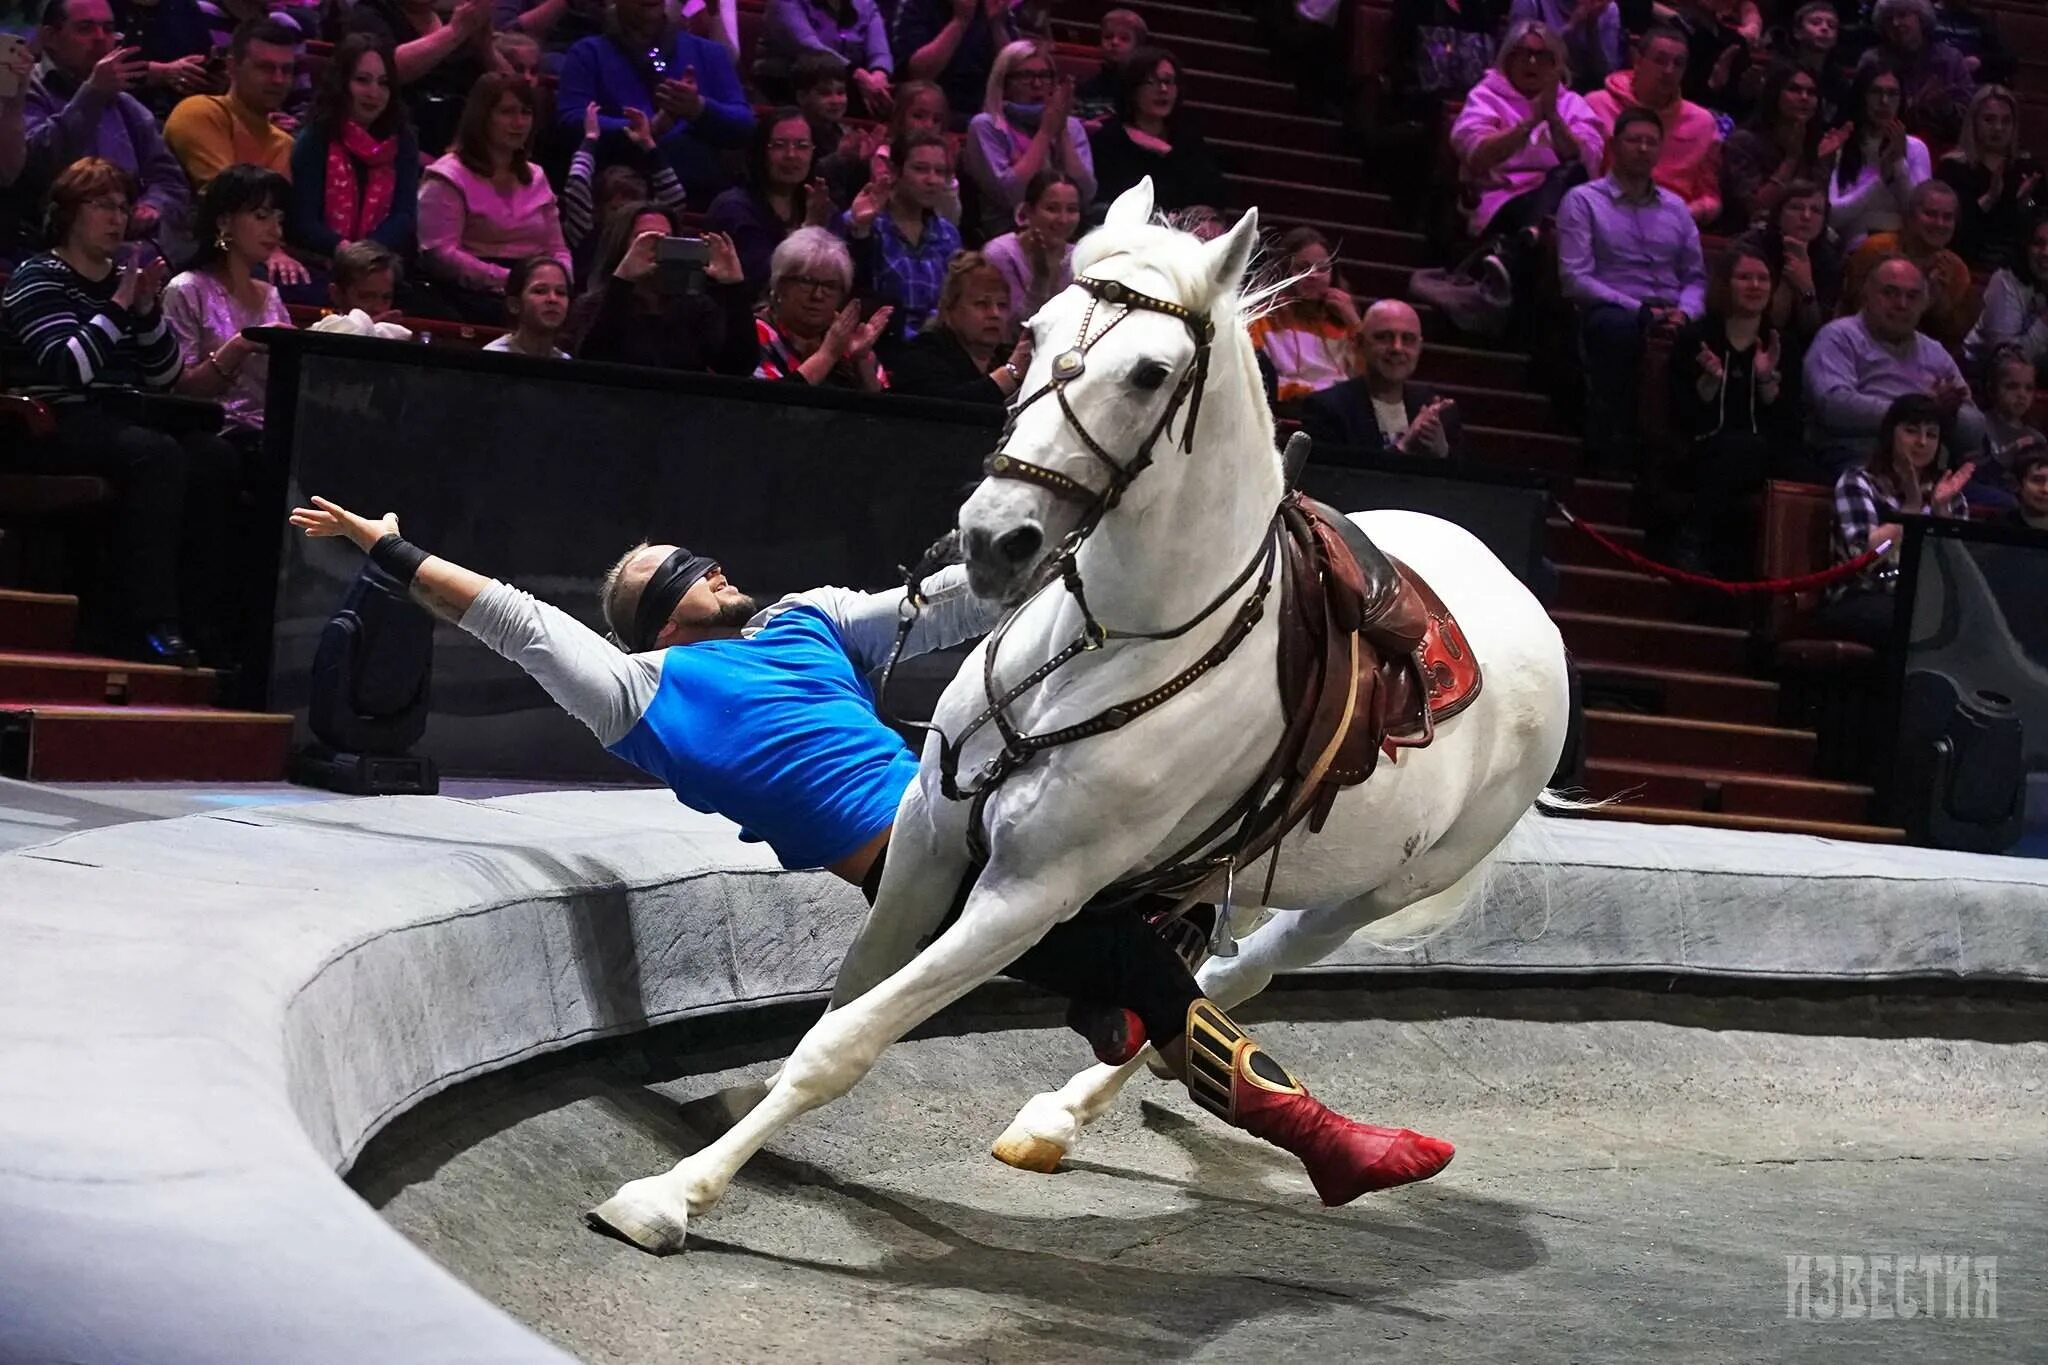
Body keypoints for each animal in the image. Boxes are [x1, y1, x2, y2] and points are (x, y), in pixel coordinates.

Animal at [593, 184, 1564, 1260]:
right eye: (1032, 333)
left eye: (1150, 372)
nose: (994, 539)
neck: (1108, 643)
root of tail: (1522, 600)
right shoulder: (927, 841)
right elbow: (850, 995)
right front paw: (733, 1123)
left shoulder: (1029, 891)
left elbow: (849, 1038)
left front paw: (672, 1195)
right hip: (1228, 863)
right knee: (1203, 968)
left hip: (1370, 895)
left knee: (1244, 977)